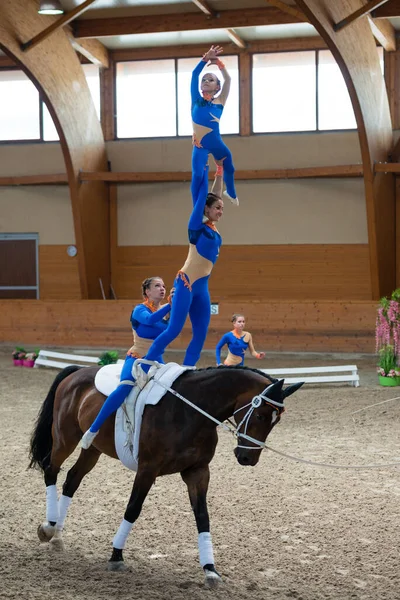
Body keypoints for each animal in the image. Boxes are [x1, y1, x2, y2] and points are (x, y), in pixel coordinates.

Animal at [28, 364, 304, 588]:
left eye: (276, 421)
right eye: (259, 415)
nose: (248, 458)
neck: (190, 411)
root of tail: (77, 371)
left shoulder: (198, 472)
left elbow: (203, 517)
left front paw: (210, 570)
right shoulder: (148, 469)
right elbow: (133, 509)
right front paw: (116, 555)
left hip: (93, 448)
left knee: (72, 480)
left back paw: (57, 534)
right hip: (65, 438)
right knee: (52, 471)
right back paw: (48, 528)